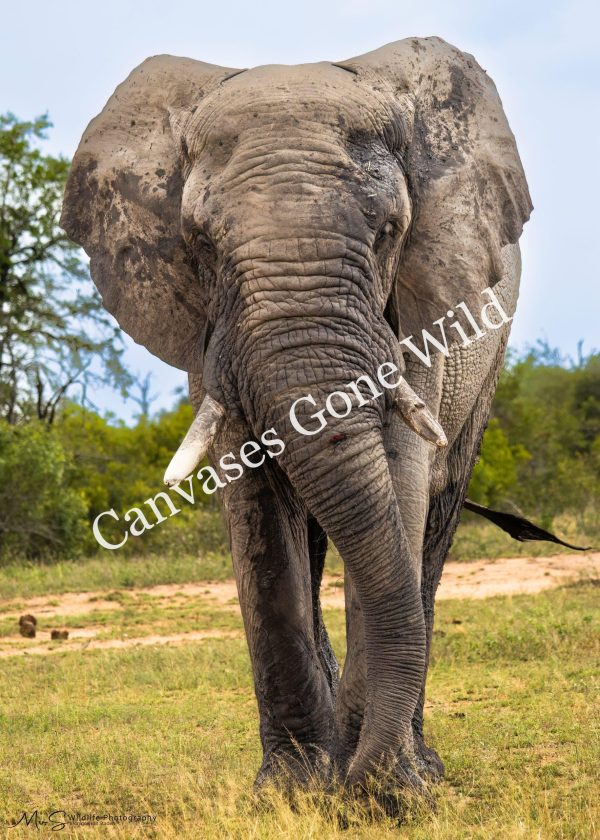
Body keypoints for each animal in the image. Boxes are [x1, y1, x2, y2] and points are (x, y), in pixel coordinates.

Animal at [61, 36, 532, 799]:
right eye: (198, 242)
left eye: (390, 233)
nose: (361, 780)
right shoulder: (209, 332)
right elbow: (255, 504)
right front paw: (293, 790)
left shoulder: (417, 307)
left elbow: (400, 478)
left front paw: (388, 791)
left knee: (435, 515)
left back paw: (414, 762)